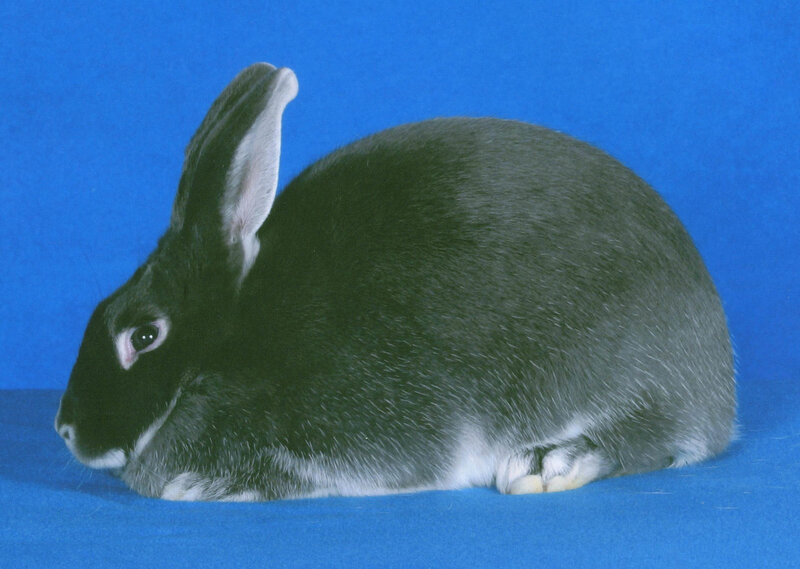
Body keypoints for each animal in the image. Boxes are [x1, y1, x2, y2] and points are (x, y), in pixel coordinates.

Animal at [55, 62, 736, 501]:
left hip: (622, 371)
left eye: (144, 336)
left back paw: (549, 462)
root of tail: (720, 385)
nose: (65, 428)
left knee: (652, 438)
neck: (228, 347)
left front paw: (207, 483)